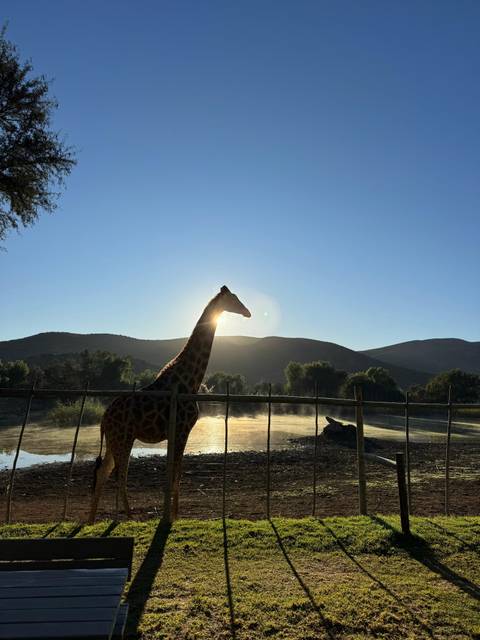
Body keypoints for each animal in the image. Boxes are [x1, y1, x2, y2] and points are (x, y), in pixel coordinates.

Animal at [87, 285, 251, 523]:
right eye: (234, 299)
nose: (248, 312)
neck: (190, 381)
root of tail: (103, 419)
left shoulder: (177, 433)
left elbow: (175, 475)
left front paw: (173, 515)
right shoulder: (182, 430)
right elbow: (176, 475)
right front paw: (173, 517)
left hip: (113, 439)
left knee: (103, 472)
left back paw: (90, 521)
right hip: (123, 437)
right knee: (120, 475)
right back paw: (130, 518)